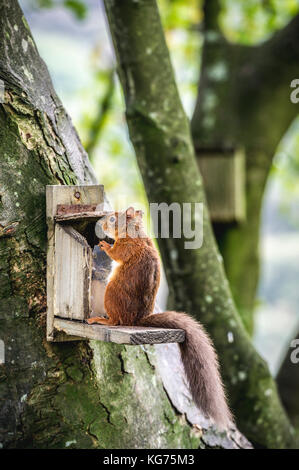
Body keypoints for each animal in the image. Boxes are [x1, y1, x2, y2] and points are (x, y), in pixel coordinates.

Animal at [88, 207, 233, 428]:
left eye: (113, 219)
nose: (101, 225)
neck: (135, 232)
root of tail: (135, 321)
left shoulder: (128, 247)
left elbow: (116, 254)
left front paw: (105, 245)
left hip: (111, 293)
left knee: (115, 321)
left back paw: (102, 320)